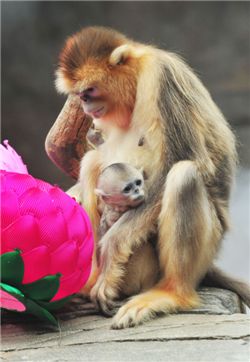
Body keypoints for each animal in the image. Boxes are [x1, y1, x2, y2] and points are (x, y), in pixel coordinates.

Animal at [45, 26, 250, 330]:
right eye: (80, 95)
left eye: (89, 91)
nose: (86, 106)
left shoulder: (161, 77)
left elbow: (182, 160)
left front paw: (111, 250)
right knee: (92, 163)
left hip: (200, 247)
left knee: (184, 175)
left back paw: (172, 293)